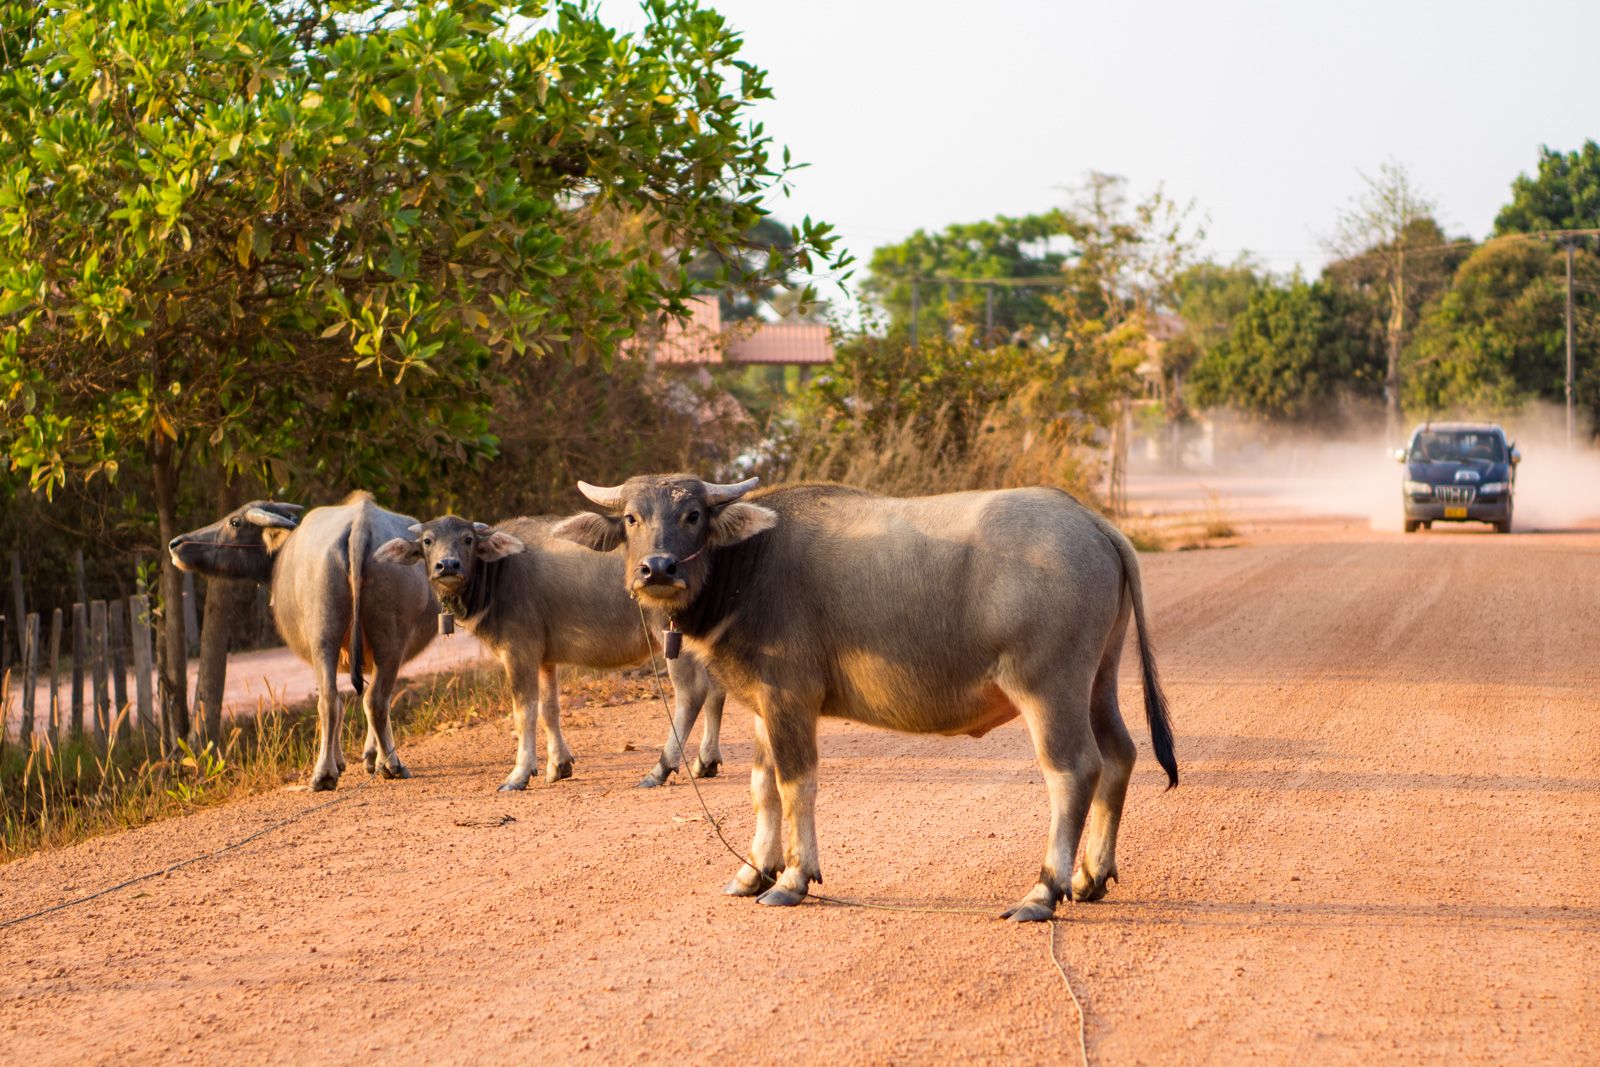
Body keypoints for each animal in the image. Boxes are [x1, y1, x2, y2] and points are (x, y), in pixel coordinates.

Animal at [168, 495, 438, 790]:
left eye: (235, 522)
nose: (176, 543)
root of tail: (360, 525)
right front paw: (366, 757)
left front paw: (365, 757)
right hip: (369, 639)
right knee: (362, 699)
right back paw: (371, 766)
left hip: (339, 637)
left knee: (347, 700)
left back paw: (343, 770)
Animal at [556, 479, 1184, 921]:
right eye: (633, 517)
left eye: (692, 515)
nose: (657, 568)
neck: (747, 566)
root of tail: (1090, 521)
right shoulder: (763, 705)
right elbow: (762, 787)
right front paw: (754, 872)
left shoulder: (790, 698)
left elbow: (796, 784)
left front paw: (792, 879)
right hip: (1098, 680)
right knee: (1121, 755)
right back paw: (1091, 877)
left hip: (1049, 688)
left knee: (1073, 771)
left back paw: (1043, 890)